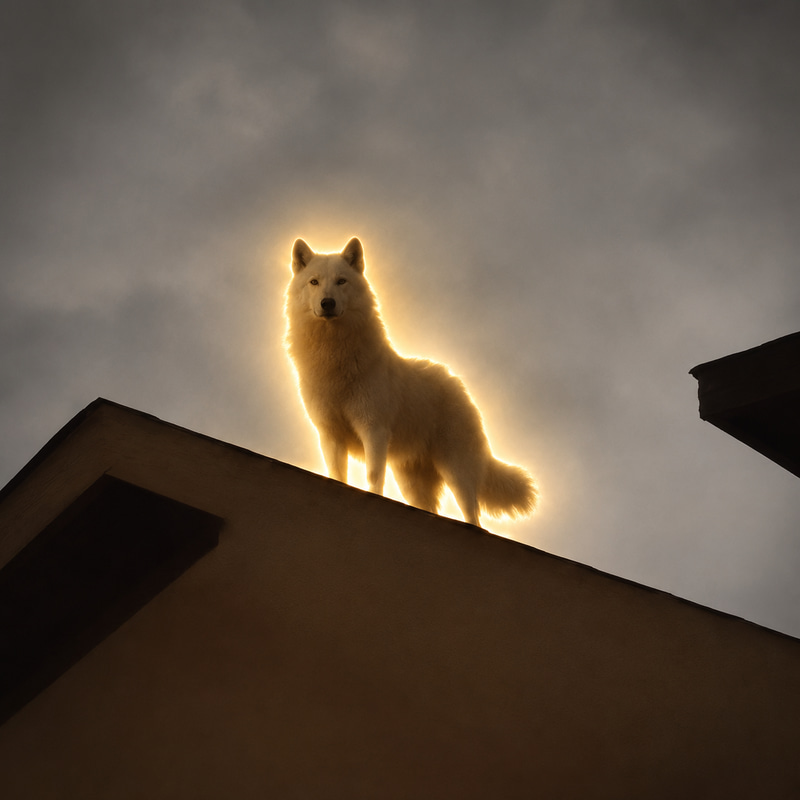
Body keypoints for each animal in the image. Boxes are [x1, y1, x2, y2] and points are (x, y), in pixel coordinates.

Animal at [284, 237, 538, 527]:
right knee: (431, 510)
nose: (327, 303)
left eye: (341, 281)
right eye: (314, 282)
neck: (333, 357)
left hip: (456, 471)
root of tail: (460, 386)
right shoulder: (330, 435)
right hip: (412, 484)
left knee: (474, 517)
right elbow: (338, 476)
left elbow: (373, 477)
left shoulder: (374, 429)